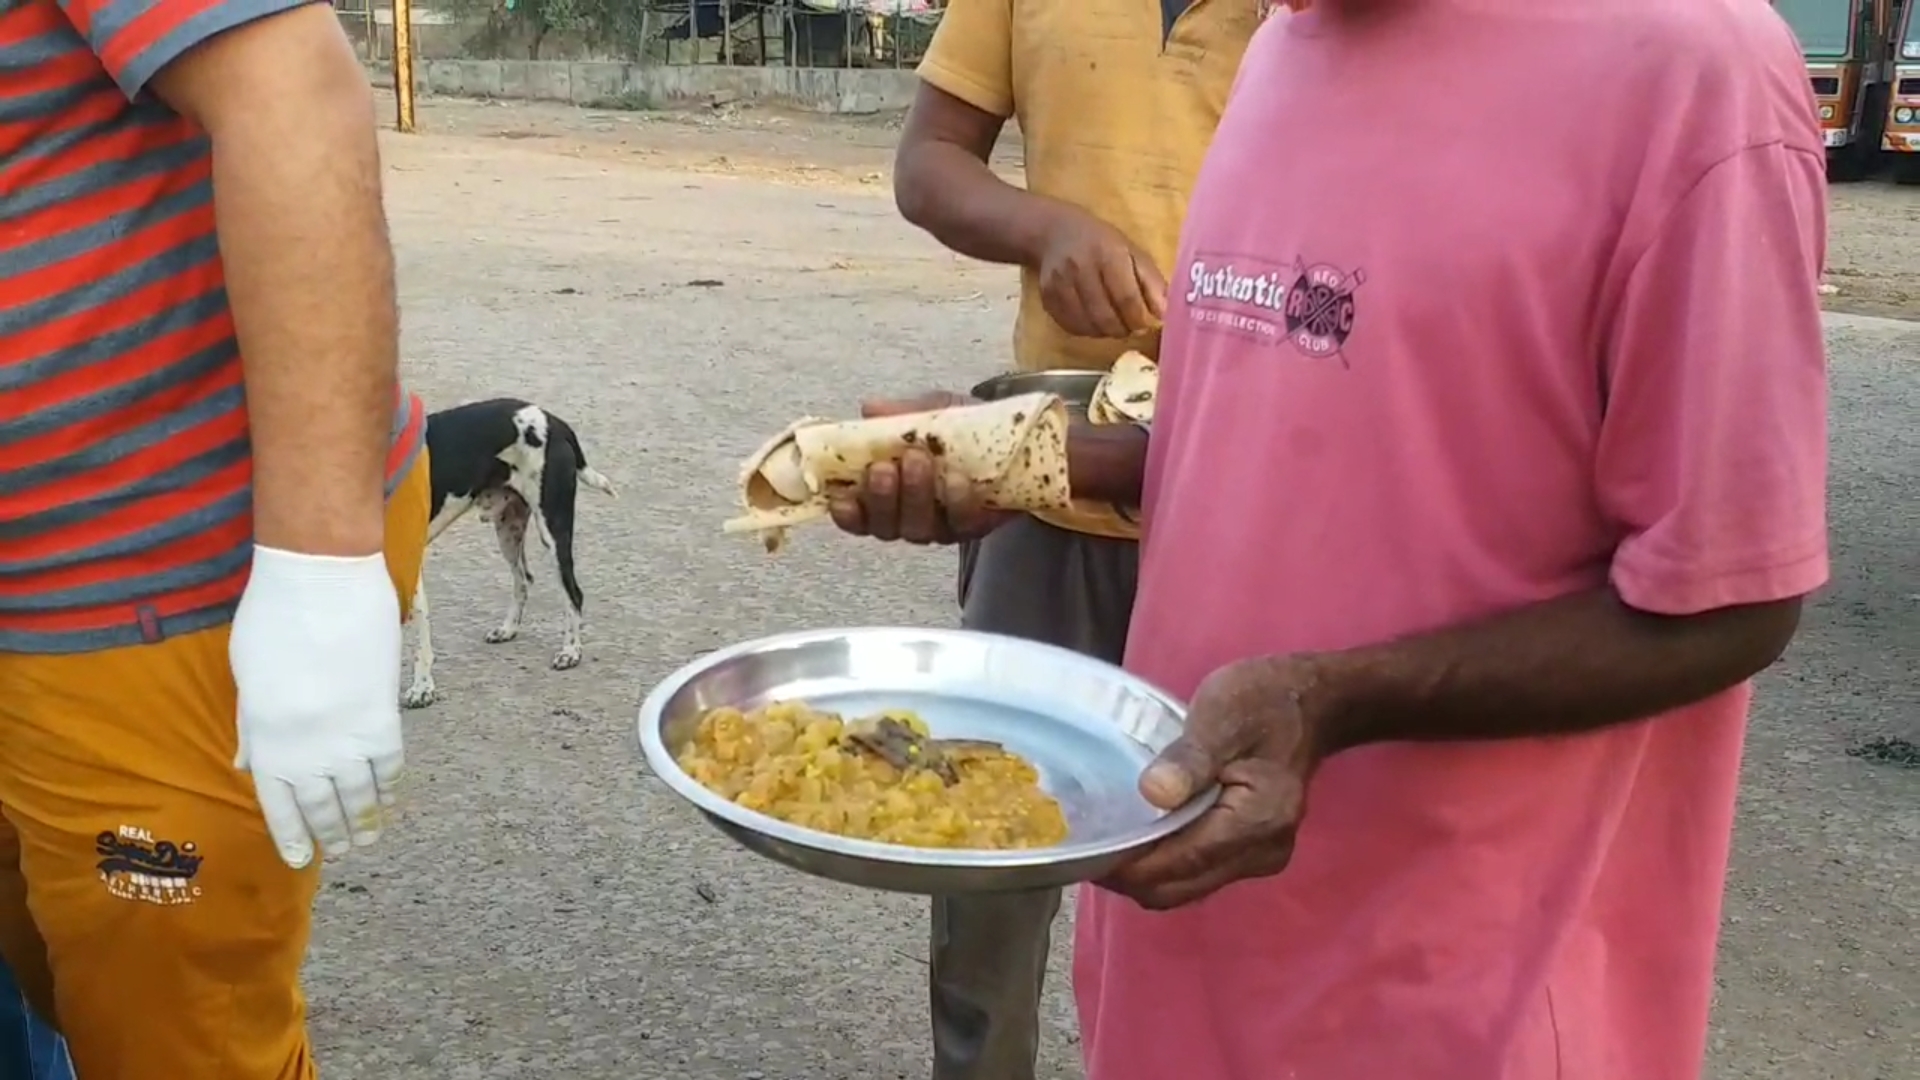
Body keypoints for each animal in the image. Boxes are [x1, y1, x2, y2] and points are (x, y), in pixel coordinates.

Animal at [403, 395, 614, 707]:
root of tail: (554, 421)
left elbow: (420, 635)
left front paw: (422, 688)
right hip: (509, 530)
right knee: (523, 579)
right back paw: (509, 629)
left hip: (553, 530)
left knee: (573, 593)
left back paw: (571, 651)